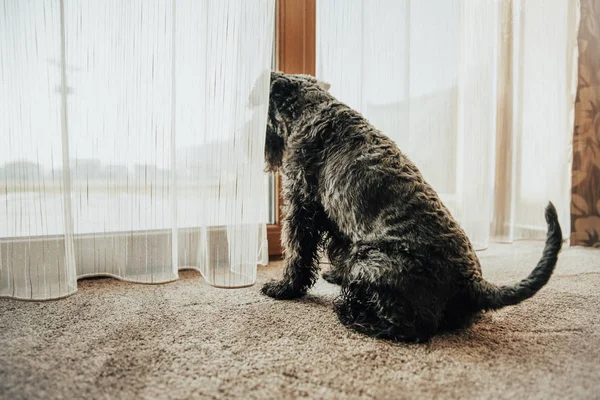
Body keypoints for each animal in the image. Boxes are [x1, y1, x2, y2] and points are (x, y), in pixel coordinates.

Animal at [262, 71, 564, 340]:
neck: (313, 108)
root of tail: (472, 283)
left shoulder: (301, 206)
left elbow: (297, 253)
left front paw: (284, 288)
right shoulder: (335, 216)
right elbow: (337, 247)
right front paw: (335, 274)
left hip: (368, 265)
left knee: (408, 328)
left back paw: (353, 315)